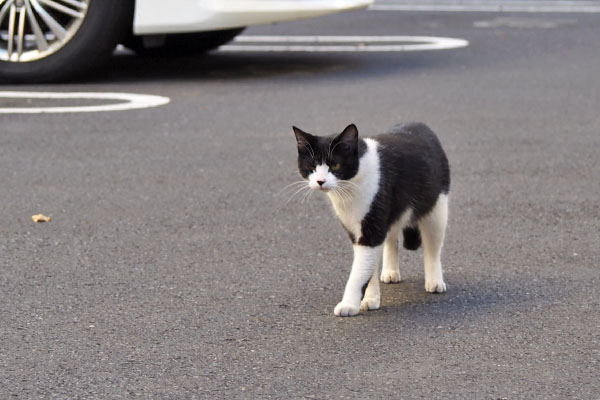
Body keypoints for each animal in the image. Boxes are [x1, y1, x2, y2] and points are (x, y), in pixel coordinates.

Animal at [290, 123, 450, 318]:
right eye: (311, 166)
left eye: (335, 164)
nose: (320, 181)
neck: (349, 189)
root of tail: (419, 125)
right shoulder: (356, 229)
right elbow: (369, 267)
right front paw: (371, 299)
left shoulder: (370, 229)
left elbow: (359, 270)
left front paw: (349, 304)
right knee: (391, 237)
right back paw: (390, 272)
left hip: (436, 209)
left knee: (432, 247)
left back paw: (434, 281)